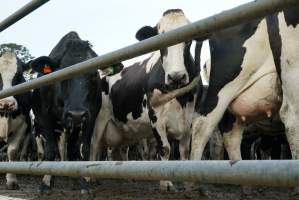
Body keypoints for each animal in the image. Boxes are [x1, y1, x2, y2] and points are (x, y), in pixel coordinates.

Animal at [29, 31, 102, 194]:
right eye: (61, 72)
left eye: (94, 74)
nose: (76, 113)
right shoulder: (45, 117)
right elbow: (50, 151)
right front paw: (45, 184)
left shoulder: (91, 116)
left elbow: (83, 149)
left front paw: (85, 183)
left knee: (70, 151)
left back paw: (73, 179)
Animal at [90, 8, 200, 191]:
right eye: (159, 38)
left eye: (189, 39)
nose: (176, 77)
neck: (179, 100)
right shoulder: (156, 116)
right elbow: (165, 149)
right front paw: (166, 182)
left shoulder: (188, 119)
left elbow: (184, 151)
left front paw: (187, 182)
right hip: (99, 121)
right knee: (94, 146)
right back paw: (90, 177)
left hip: (124, 129)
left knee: (120, 151)